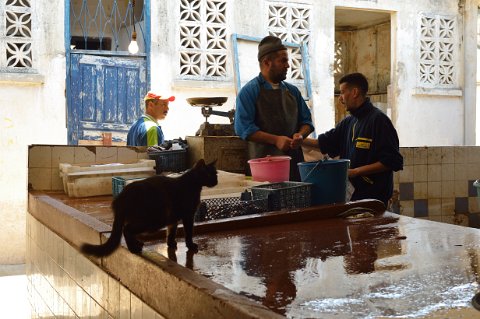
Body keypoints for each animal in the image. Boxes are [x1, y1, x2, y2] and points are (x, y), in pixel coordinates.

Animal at [81, 159, 218, 258]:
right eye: (210, 174)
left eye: (216, 174)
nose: (216, 181)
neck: (193, 183)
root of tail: (122, 196)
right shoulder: (188, 215)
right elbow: (188, 233)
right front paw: (190, 245)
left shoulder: (172, 218)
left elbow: (171, 232)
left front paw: (171, 244)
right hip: (152, 221)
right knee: (126, 229)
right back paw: (134, 248)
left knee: (128, 230)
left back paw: (137, 244)